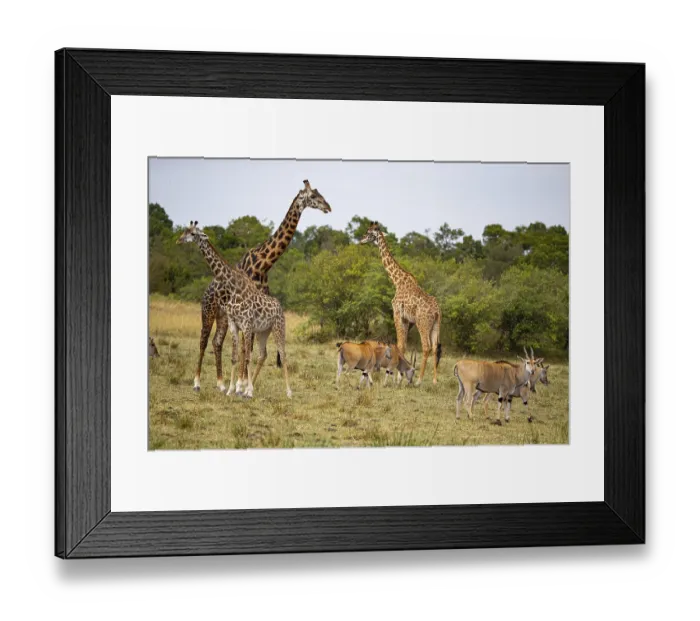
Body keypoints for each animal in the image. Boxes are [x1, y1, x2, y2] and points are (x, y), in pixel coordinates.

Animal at [177, 221, 292, 399]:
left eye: (193, 233)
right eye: (185, 231)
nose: (179, 240)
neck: (234, 287)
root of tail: (280, 306)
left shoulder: (246, 324)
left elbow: (247, 356)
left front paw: (246, 391)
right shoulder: (234, 324)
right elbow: (235, 357)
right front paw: (232, 389)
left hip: (278, 328)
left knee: (283, 354)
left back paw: (288, 392)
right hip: (260, 331)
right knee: (260, 353)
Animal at [194, 180, 331, 392]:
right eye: (313, 196)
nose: (328, 207)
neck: (263, 263)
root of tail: (207, 289)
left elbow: (250, 348)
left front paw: (244, 384)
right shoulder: (248, 312)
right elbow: (246, 347)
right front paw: (242, 384)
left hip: (223, 316)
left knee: (217, 342)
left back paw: (221, 383)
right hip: (208, 310)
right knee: (203, 340)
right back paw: (198, 382)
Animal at [360, 222, 442, 385]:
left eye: (369, 232)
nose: (361, 240)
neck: (397, 281)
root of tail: (436, 311)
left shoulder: (397, 314)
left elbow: (399, 345)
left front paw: (397, 377)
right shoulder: (407, 320)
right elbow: (403, 346)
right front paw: (400, 375)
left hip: (423, 323)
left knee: (426, 347)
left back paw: (419, 380)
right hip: (436, 325)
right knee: (436, 347)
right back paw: (435, 381)